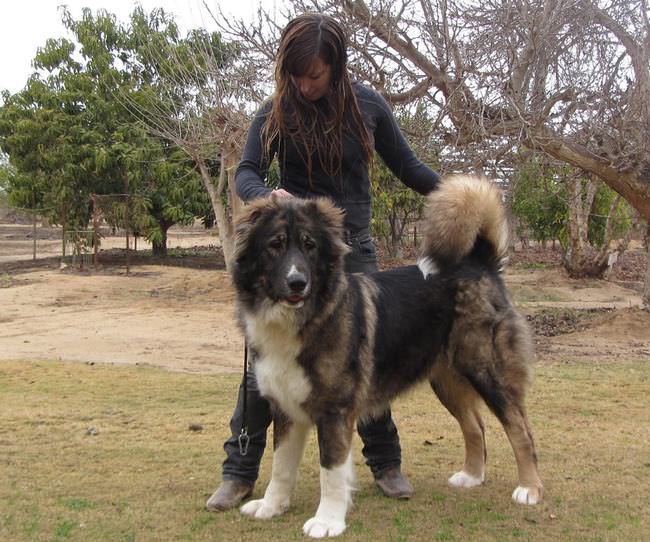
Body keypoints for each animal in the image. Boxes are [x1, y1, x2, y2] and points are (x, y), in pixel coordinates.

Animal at [233, 177, 540, 540]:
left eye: (310, 246)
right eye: (275, 245)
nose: (297, 282)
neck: (304, 319)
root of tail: (479, 262)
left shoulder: (335, 412)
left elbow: (331, 471)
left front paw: (328, 520)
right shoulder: (285, 408)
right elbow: (280, 466)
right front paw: (272, 506)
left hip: (487, 372)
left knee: (520, 430)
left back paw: (530, 489)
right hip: (447, 381)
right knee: (475, 427)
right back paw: (472, 476)